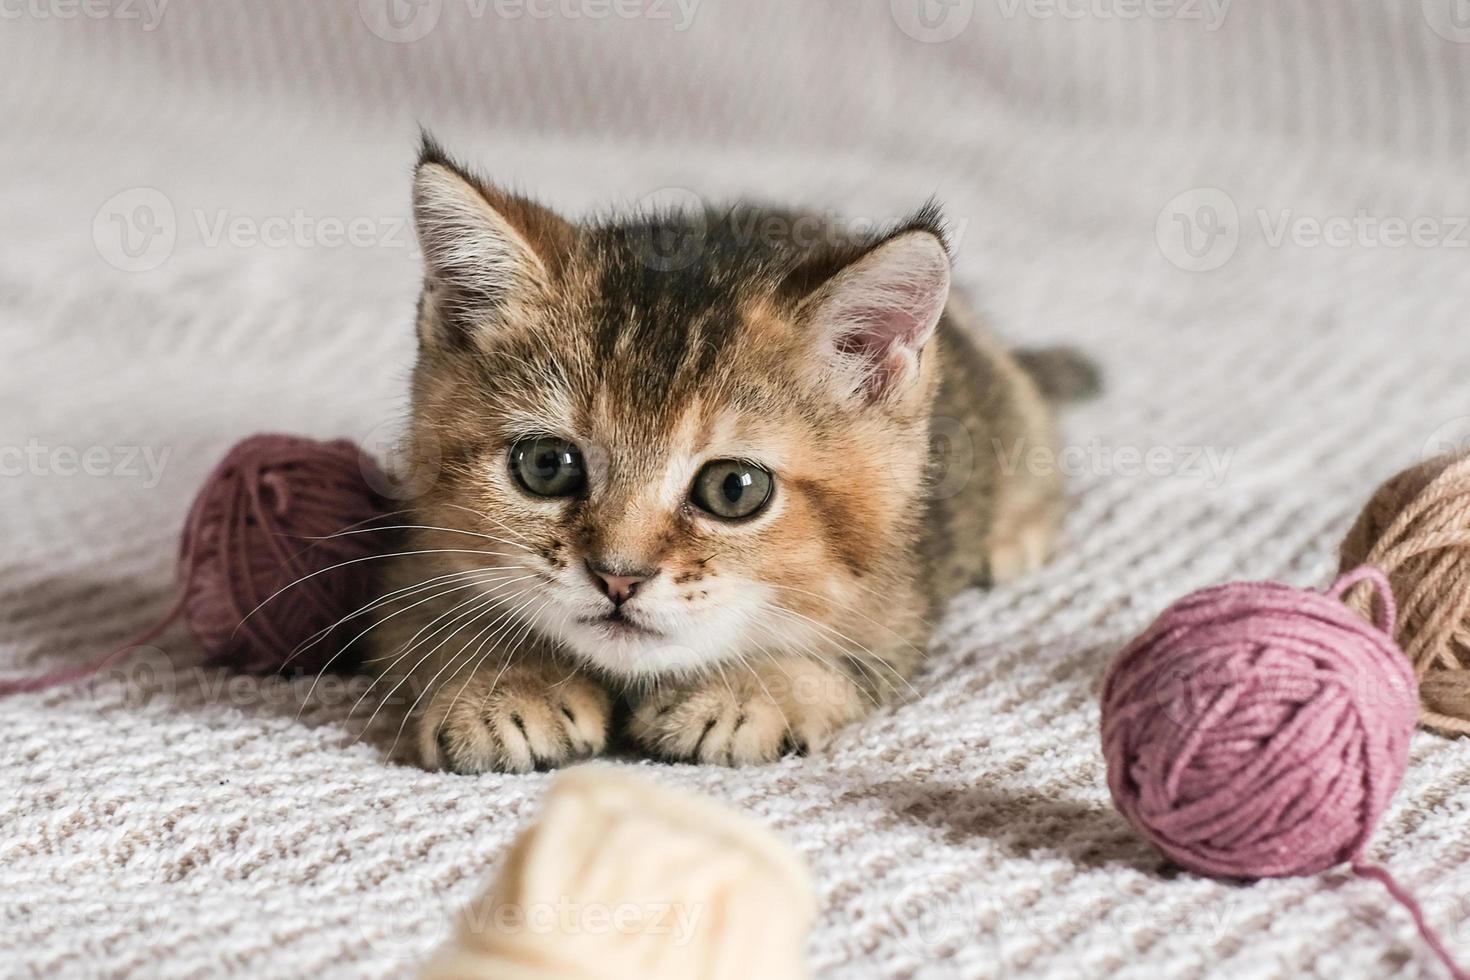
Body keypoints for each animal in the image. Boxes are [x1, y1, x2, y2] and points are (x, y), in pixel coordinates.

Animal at [367, 135, 1093, 775]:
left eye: (734, 489)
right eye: (547, 466)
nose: (618, 578)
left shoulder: (902, 611)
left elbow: (841, 662)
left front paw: (748, 689)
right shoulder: (412, 560)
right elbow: (432, 622)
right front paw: (503, 683)